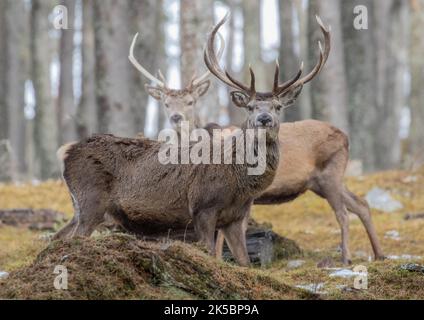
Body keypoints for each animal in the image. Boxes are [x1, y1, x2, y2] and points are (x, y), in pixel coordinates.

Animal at [205, 14, 384, 264]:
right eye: (250, 107)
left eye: (277, 106)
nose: (264, 119)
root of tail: (344, 136)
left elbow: (231, 230)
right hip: (321, 182)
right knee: (361, 204)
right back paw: (380, 254)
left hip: (330, 173)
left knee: (343, 213)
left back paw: (346, 258)